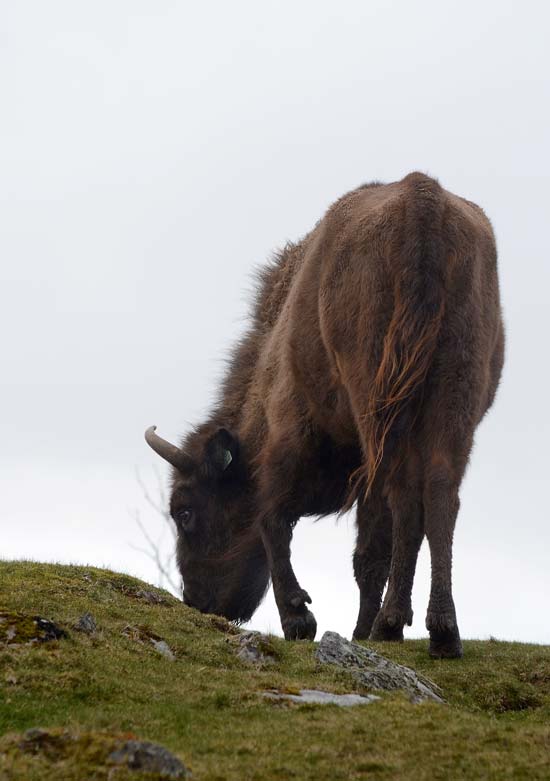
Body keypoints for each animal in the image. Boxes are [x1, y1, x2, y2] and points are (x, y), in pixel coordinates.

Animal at [146, 172, 504, 658]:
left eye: (184, 511)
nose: (199, 602)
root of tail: (422, 196)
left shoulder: (290, 430)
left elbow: (273, 516)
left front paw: (301, 619)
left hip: (379, 409)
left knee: (401, 504)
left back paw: (391, 624)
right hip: (453, 401)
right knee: (438, 497)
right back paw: (441, 632)